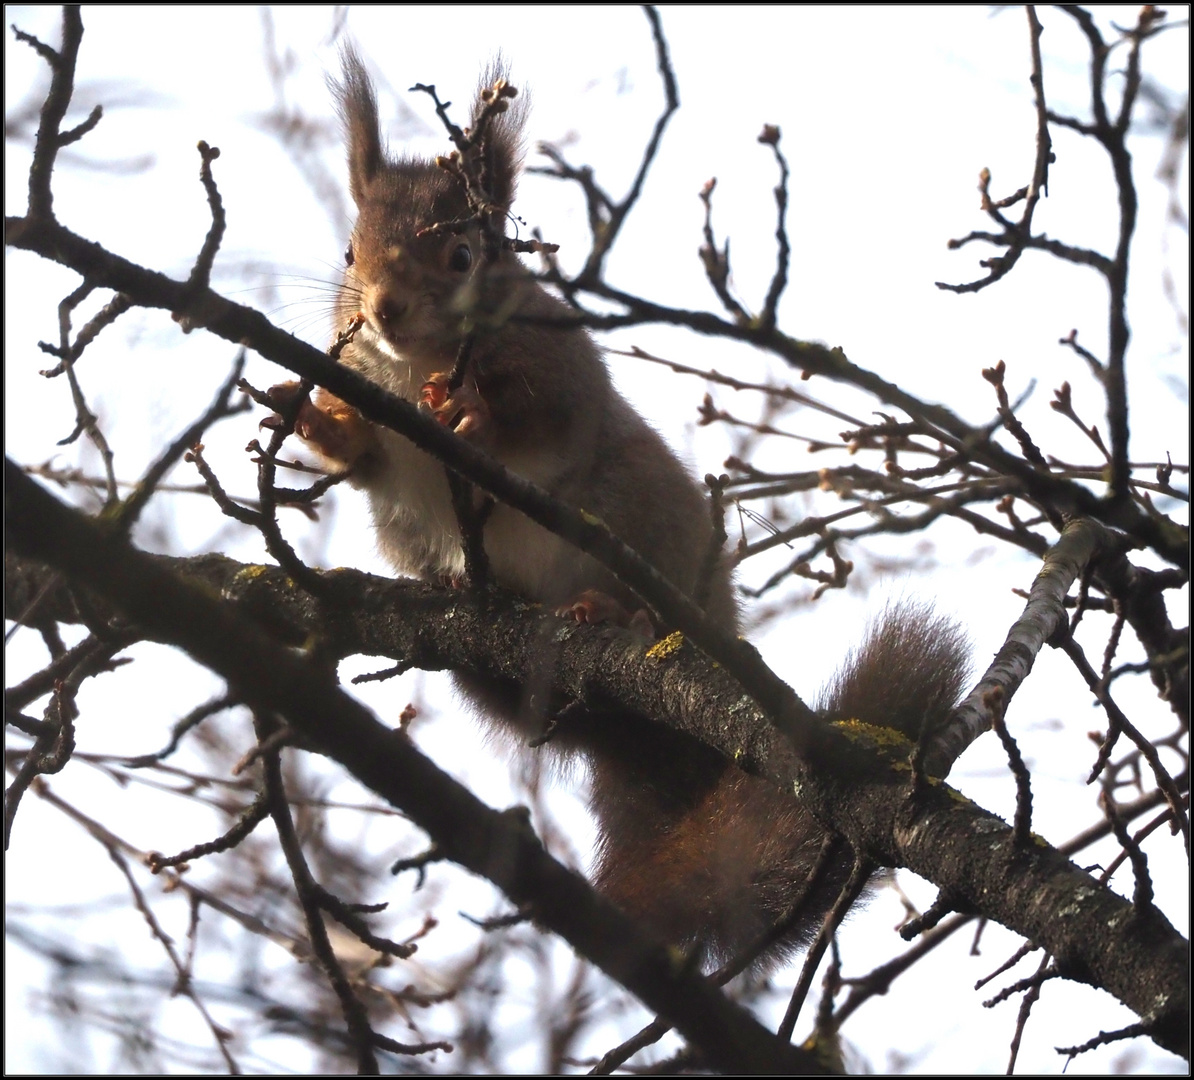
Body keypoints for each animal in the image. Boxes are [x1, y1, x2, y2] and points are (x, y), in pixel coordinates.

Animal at [281, 46, 969, 964]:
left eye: (462, 256)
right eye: (351, 250)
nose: (383, 311)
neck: (412, 365)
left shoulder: (559, 367)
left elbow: (540, 414)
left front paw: (472, 415)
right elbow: (362, 458)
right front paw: (316, 418)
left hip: (638, 514)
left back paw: (618, 611)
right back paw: (463, 591)